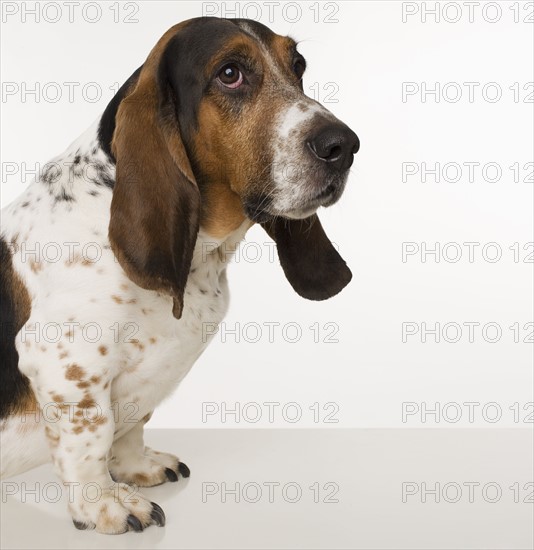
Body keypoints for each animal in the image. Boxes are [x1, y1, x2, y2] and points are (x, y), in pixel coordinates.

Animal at [1, 17, 360, 536]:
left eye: (299, 65)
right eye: (230, 73)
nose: (343, 145)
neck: (204, 257)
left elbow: (131, 425)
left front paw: (136, 467)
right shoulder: (65, 361)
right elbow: (90, 438)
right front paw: (103, 504)